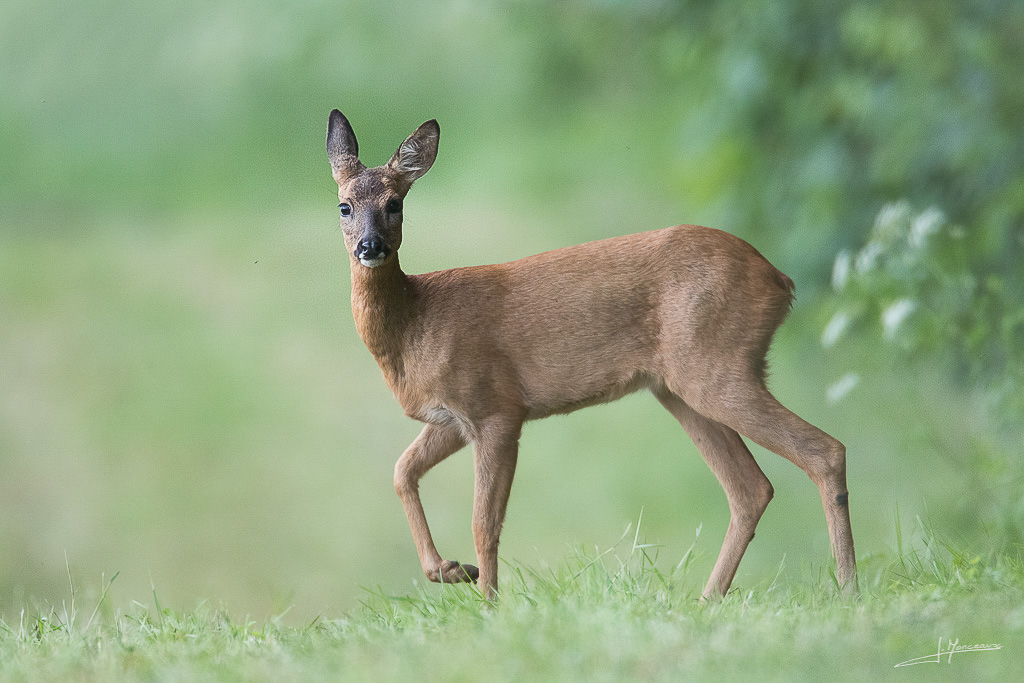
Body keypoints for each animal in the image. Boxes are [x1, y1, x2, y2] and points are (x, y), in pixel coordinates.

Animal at [325, 109, 856, 602]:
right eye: (344, 205)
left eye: (395, 203)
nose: (370, 246)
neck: (416, 325)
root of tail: (780, 282)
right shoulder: (453, 419)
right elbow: (402, 471)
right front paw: (450, 570)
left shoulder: (495, 406)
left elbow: (484, 523)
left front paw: (490, 607)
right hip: (678, 387)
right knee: (751, 488)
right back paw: (709, 599)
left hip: (715, 365)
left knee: (823, 450)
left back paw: (848, 588)